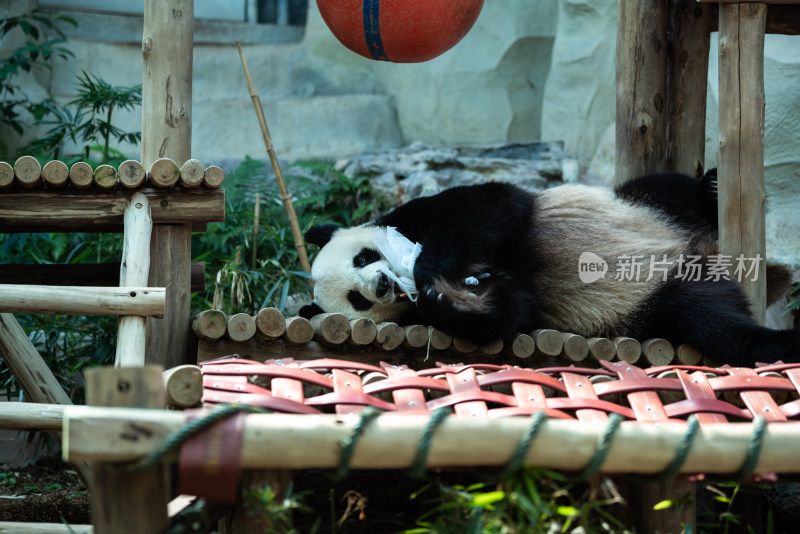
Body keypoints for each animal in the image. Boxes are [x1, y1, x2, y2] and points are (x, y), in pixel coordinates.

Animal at [302, 173, 800, 368]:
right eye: (357, 300)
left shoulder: (421, 213)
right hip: (664, 296)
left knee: (666, 189)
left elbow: (492, 205)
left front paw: (429, 270)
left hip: (646, 206)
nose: (383, 283)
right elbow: (515, 312)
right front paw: (453, 300)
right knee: (716, 323)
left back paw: (711, 188)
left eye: (362, 258)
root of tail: (699, 250)